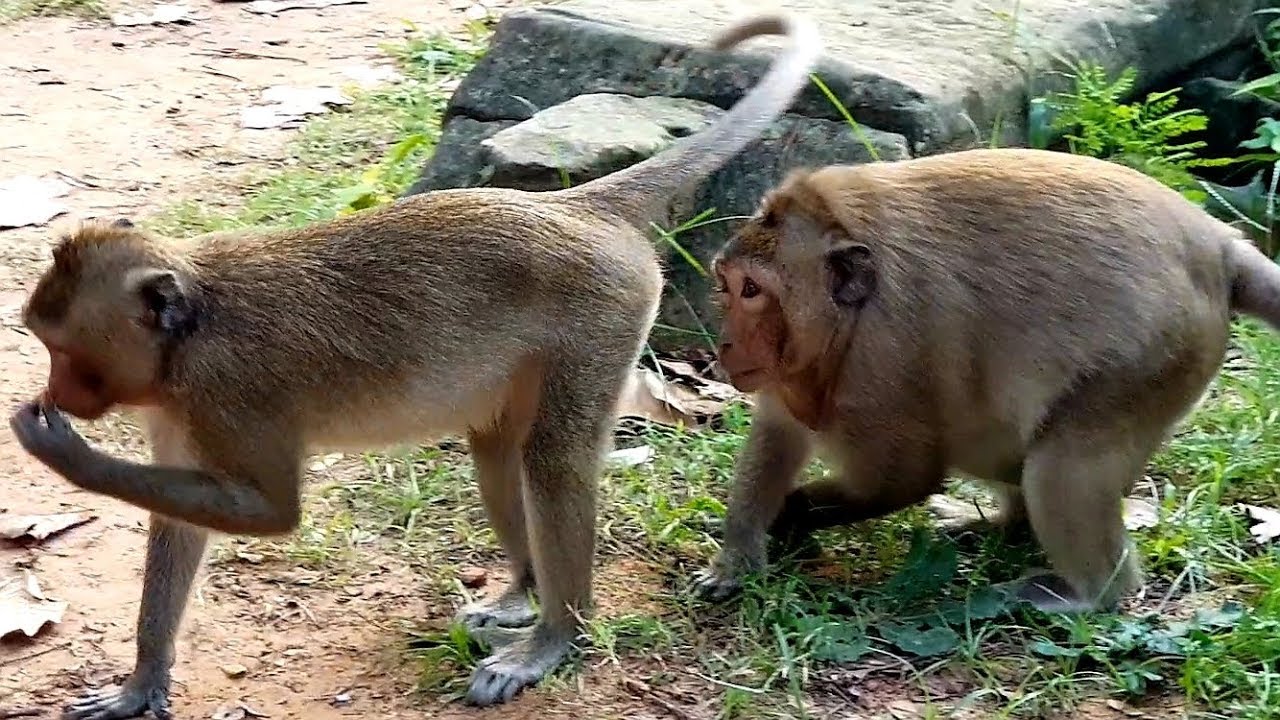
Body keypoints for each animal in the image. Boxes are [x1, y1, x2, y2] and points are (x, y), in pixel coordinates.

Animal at [8, 12, 822, 719]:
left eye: (65, 353)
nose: (55, 390)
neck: (192, 333)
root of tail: (577, 209)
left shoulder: (229, 393)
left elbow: (275, 512)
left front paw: (63, 452)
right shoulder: (178, 406)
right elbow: (178, 527)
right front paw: (141, 684)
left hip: (605, 311)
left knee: (553, 457)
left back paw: (553, 637)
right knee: (496, 448)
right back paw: (522, 596)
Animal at [690, 147, 1280, 613]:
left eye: (752, 291)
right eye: (728, 285)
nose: (725, 344)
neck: (851, 316)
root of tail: (1218, 245)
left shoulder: (882, 361)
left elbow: (903, 478)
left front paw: (795, 514)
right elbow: (777, 435)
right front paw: (739, 555)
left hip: (1155, 355)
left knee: (1061, 466)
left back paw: (1090, 594)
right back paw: (1004, 524)